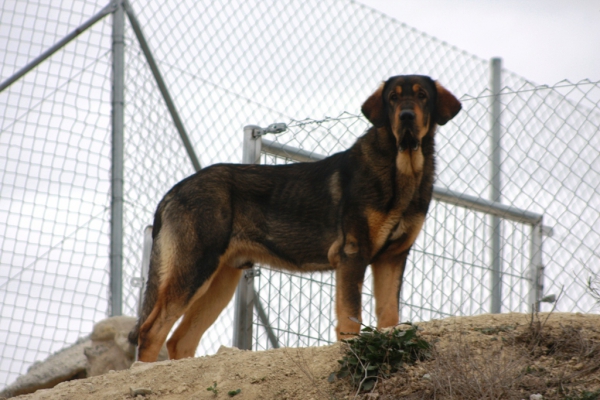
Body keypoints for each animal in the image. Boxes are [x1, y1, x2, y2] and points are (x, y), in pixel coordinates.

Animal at [129, 75, 462, 362]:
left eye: (422, 96)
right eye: (393, 97)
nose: (406, 116)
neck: (401, 167)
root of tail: (174, 190)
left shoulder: (392, 258)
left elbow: (389, 317)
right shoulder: (353, 255)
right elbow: (351, 318)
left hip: (220, 280)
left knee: (179, 340)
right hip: (195, 267)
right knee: (151, 332)